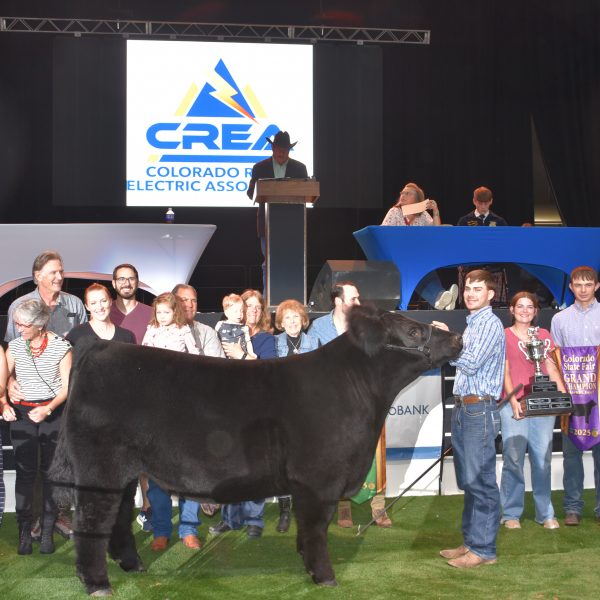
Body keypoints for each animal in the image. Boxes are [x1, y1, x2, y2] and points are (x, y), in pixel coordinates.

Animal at [50, 304, 462, 596]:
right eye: (413, 330)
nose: (457, 337)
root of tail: (98, 347)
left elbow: (307, 528)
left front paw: (305, 561)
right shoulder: (319, 478)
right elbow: (317, 528)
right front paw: (324, 575)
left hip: (121, 471)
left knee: (117, 517)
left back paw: (132, 565)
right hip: (98, 469)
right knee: (92, 523)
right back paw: (97, 583)